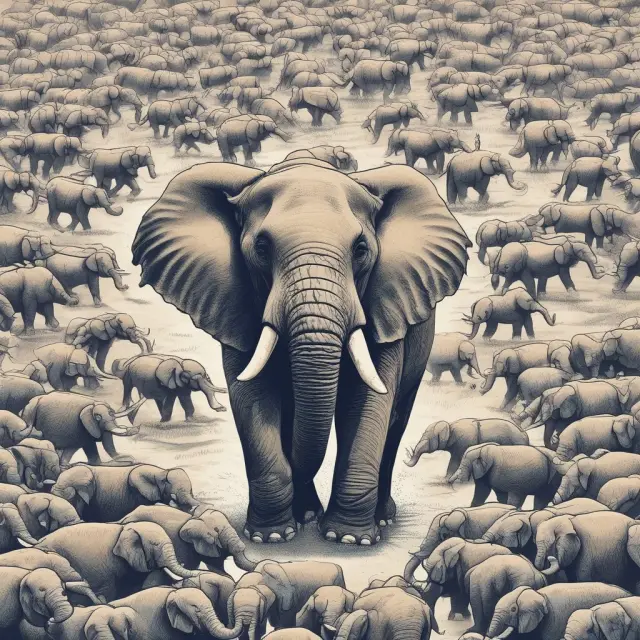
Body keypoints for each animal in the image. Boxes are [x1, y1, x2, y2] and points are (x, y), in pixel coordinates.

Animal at [131, 160, 470, 546]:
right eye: (262, 248)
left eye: (361, 249)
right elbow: (253, 396)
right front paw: (271, 536)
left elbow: (367, 400)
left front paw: (348, 539)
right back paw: (306, 515)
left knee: (396, 421)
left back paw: (378, 519)